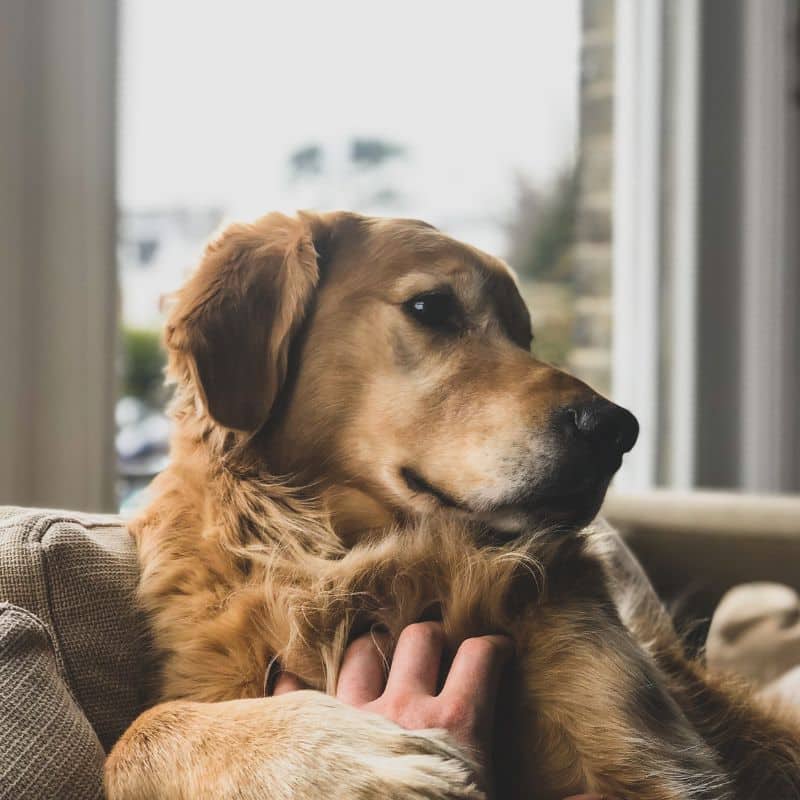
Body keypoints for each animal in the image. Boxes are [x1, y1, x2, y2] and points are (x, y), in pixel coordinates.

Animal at [106, 209, 800, 796]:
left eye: (525, 336)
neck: (356, 556)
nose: (616, 430)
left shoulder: (648, 757)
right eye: (431, 307)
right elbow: (137, 732)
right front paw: (349, 756)